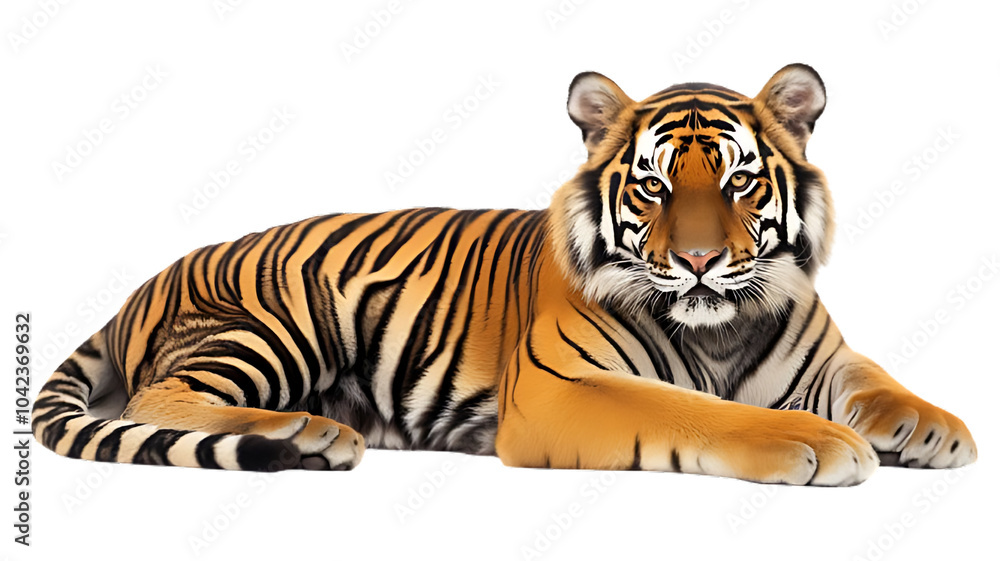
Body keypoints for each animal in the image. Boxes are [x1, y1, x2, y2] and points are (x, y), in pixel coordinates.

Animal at [32, 64, 976, 485]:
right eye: (655, 185)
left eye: (739, 182)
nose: (701, 260)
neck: (721, 328)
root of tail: (135, 291)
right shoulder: (564, 387)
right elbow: (696, 409)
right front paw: (815, 441)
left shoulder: (824, 354)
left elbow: (875, 376)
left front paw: (936, 429)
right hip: (273, 320)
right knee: (158, 398)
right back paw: (309, 433)